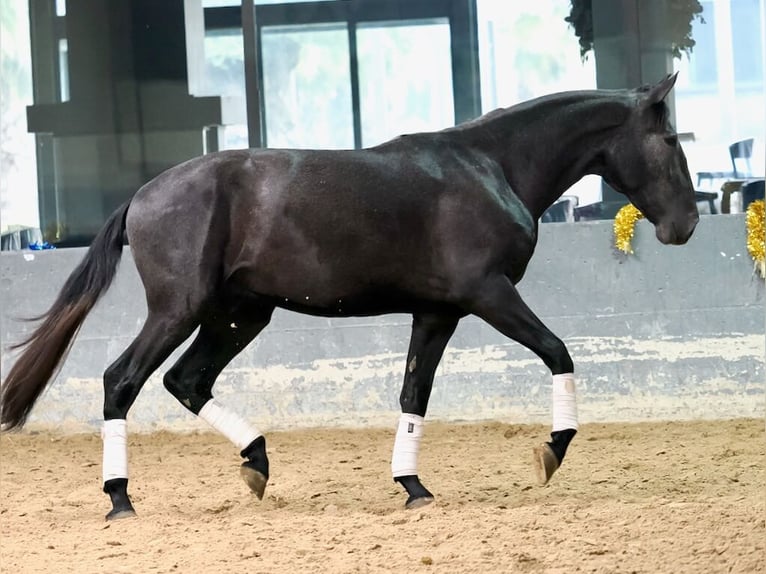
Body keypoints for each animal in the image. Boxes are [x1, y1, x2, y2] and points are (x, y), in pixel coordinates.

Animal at [0, 73, 700, 520]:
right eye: (670, 140)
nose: (686, 225)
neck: (490, 167)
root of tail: (143, 196)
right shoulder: (489, 295)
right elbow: (559, 352)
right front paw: (550, 452)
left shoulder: (438, 312)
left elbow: (414, 394)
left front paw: (413, 486)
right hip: (180, 310)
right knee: (123, 381)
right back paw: (120, 499)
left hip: (239, 315)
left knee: (187, 381)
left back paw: (256, 463)